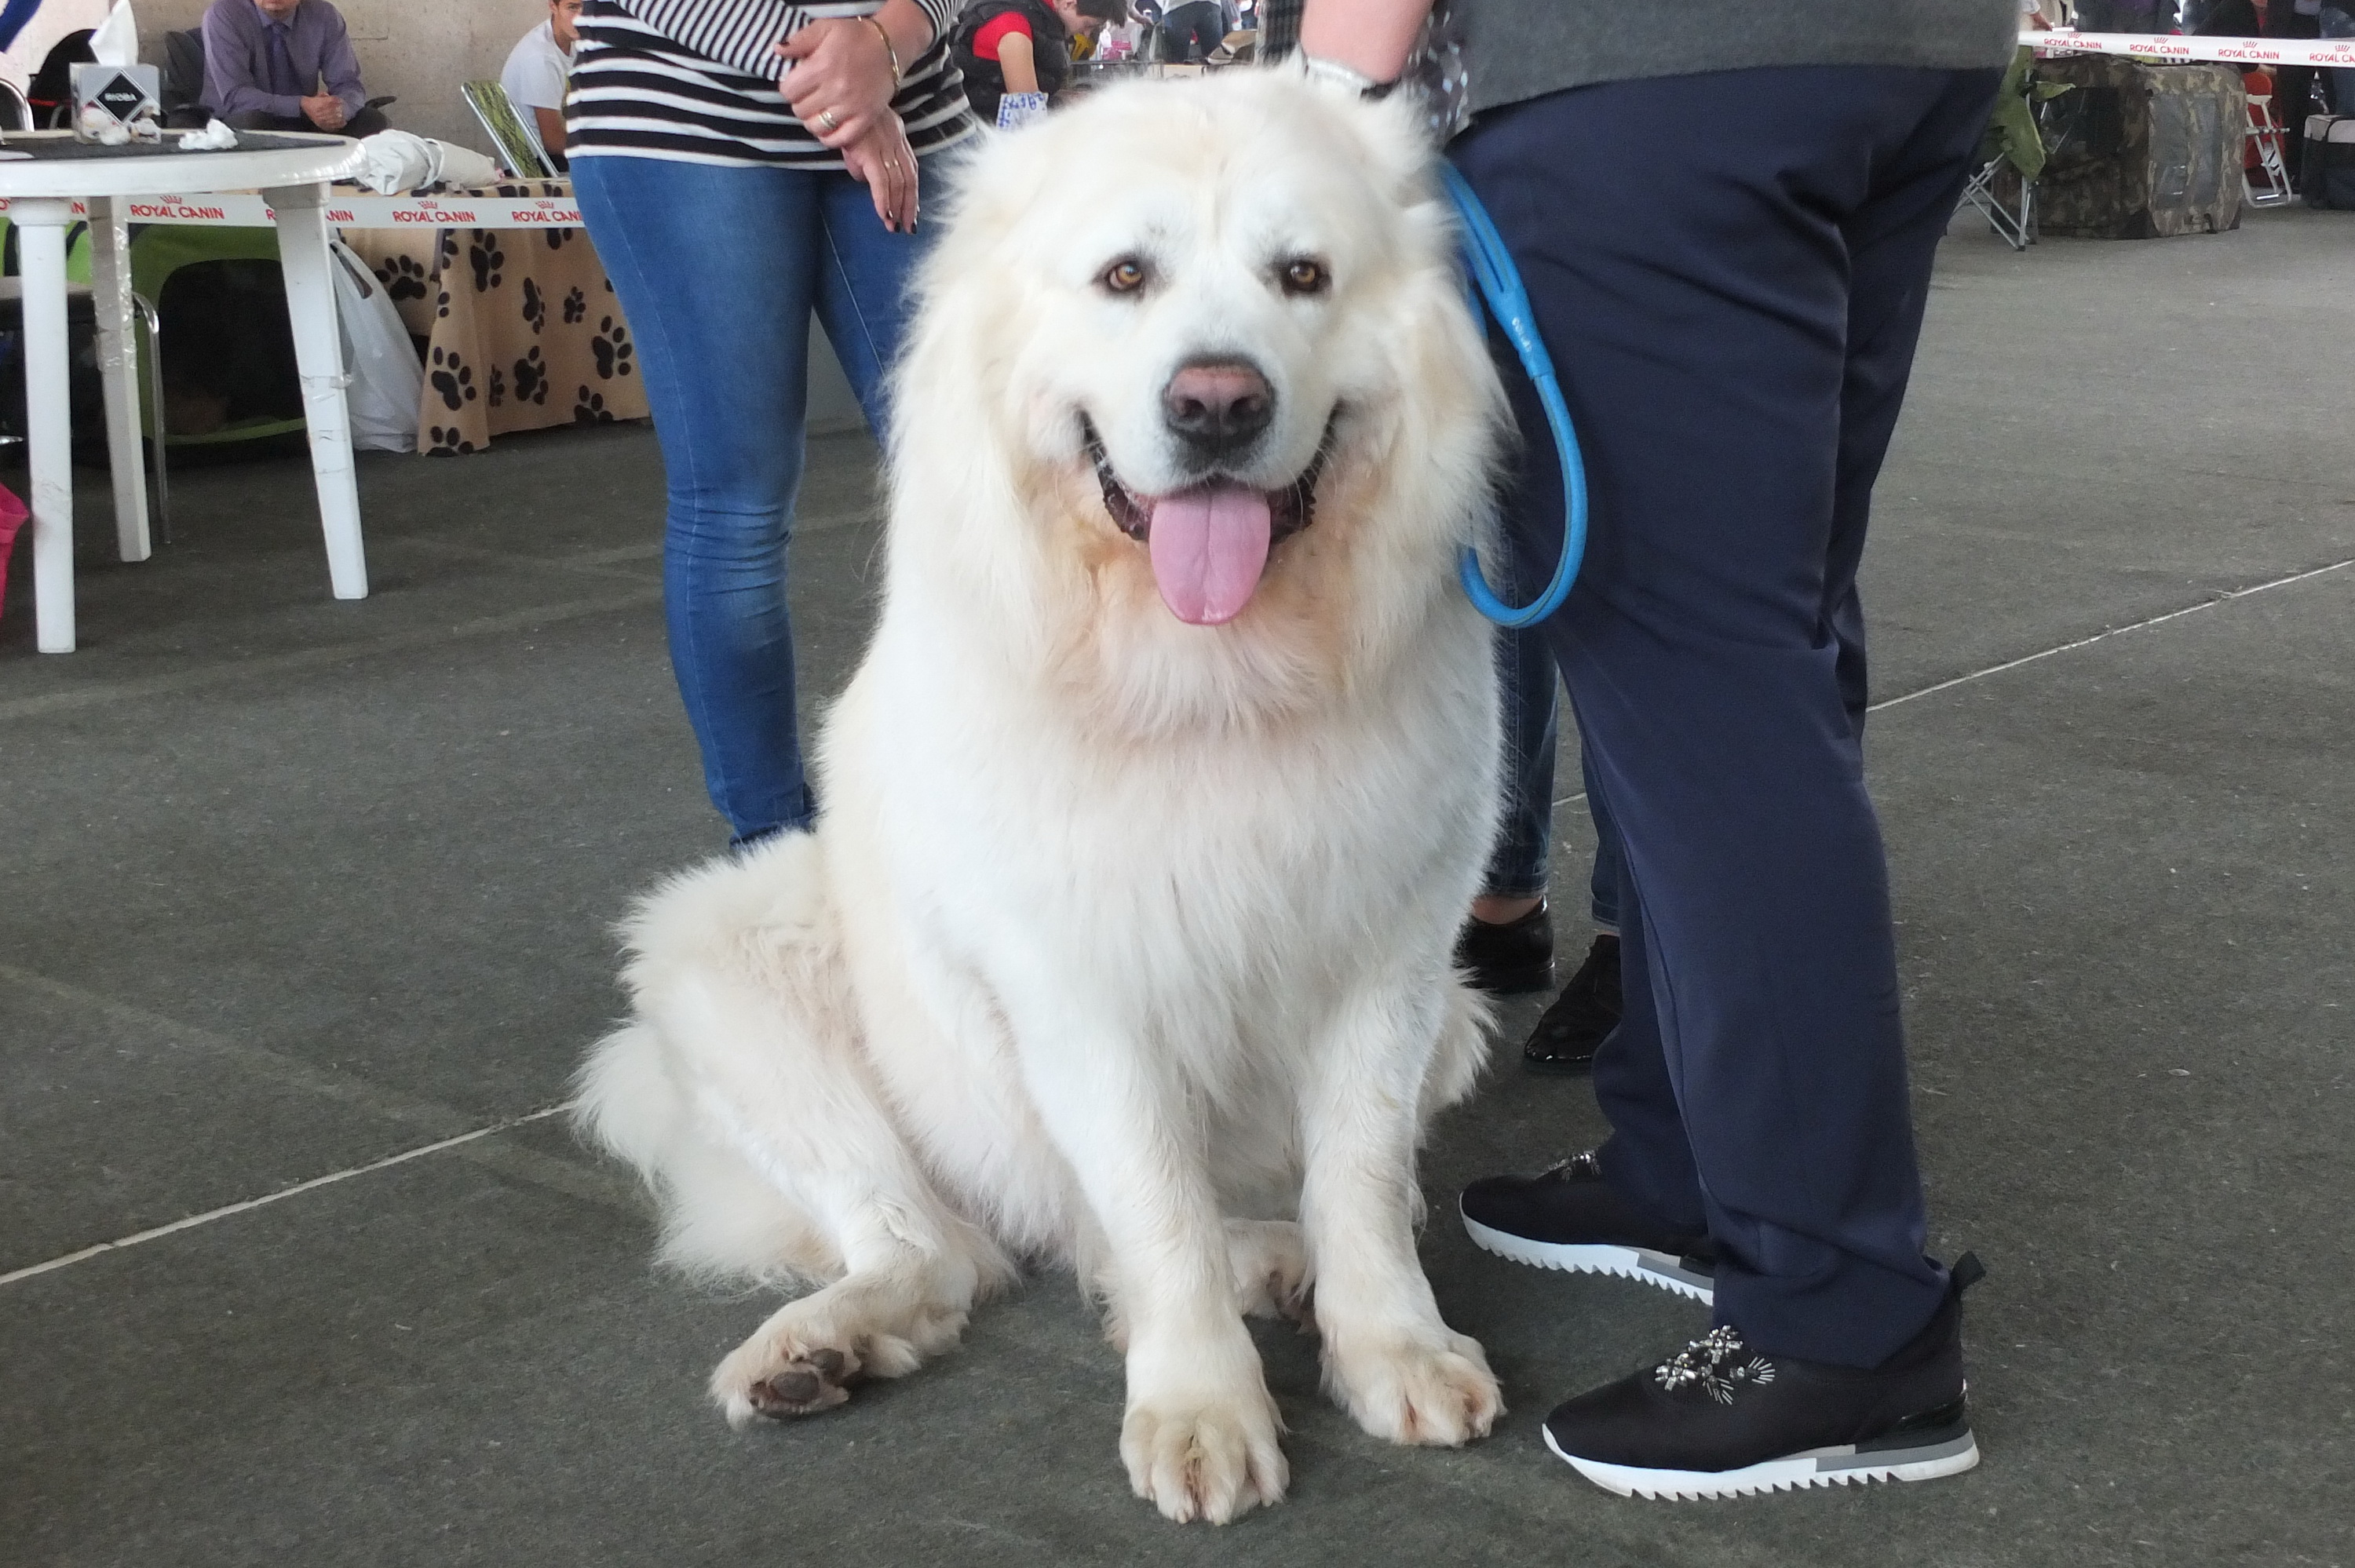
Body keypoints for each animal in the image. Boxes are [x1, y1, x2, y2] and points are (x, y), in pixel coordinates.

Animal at [577, 70, 1509, 1525]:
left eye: (1302, 275)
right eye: (1126, 276)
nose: (1218, 402)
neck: (1208, 682)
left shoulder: (1394, 963)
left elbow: (1358, 1173)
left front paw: (1391, 1349)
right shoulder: (1082, 987)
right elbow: (1155, 1203)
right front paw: (1201, 1408)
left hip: (1459, 1019)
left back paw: (1277, 1257)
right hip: (724, 950)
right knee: (943, 1248)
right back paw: (824, 1345)